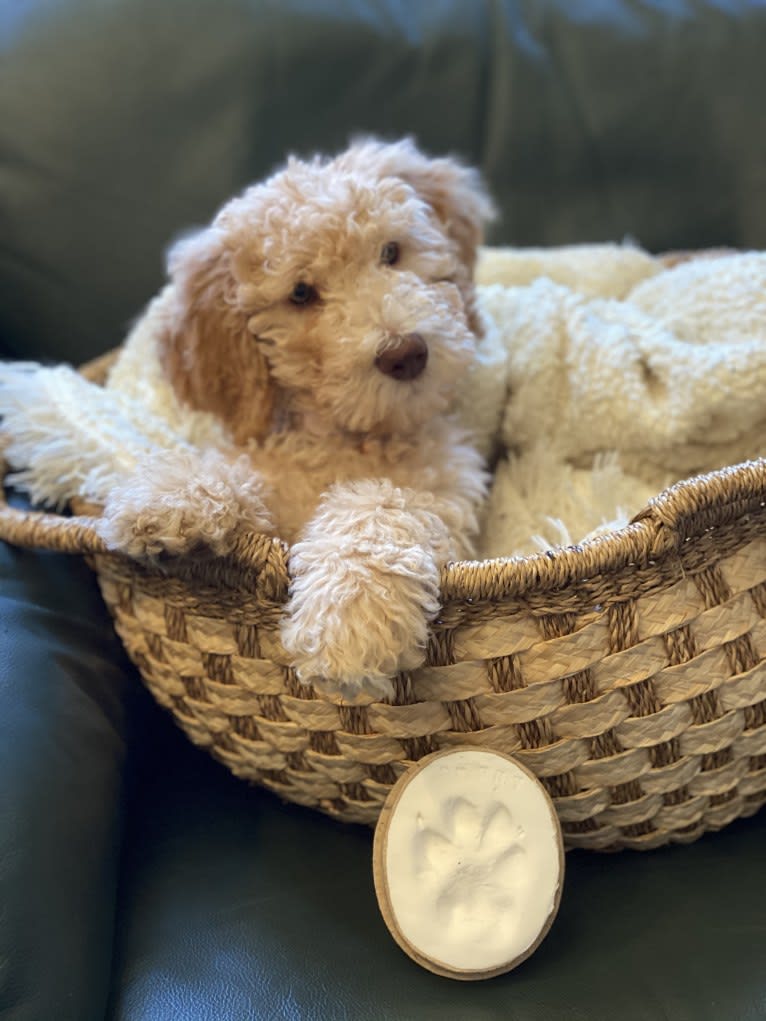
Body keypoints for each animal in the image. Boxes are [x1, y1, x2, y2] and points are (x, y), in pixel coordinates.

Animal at [100, 139, 498, 702]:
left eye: (391, 253)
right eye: (302, 294)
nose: (406, 354)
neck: (348, 434)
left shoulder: (447, 488)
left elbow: (381, 503)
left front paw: (350, 614)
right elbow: (236, 473)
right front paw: (168, 496)